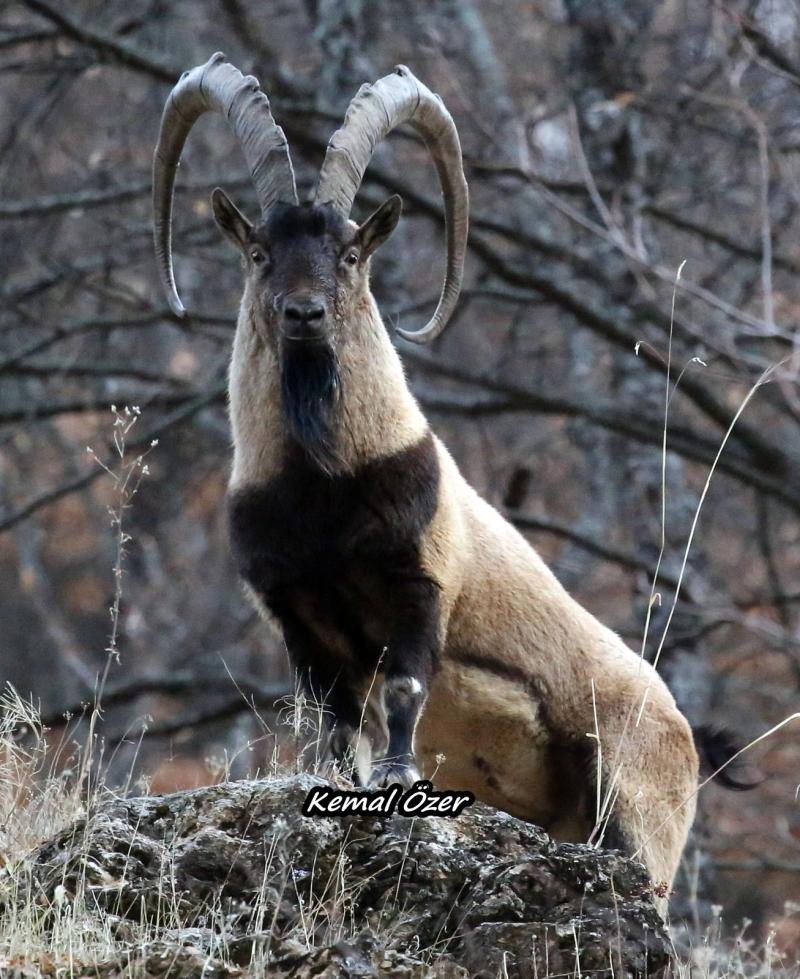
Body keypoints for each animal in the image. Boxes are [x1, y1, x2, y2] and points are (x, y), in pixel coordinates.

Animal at [152, 55, 700, 904]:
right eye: (260, 252)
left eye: (349, 252)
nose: (304, 314)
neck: (322, 489)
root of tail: (686, 738)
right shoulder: (296, 614)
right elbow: (338, 720)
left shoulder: (420, 584)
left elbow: (407, 688)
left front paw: (399, 778)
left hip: (635, 802)